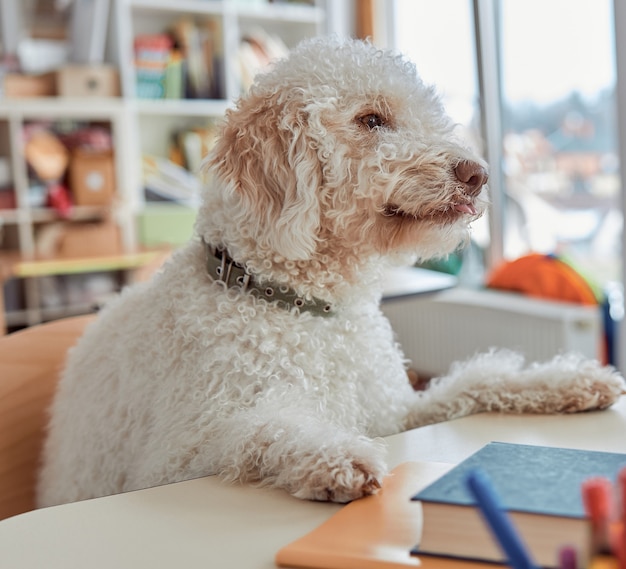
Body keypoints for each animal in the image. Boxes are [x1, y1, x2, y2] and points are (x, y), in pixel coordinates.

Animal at [39, 37, 624, 504]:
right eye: (371, 120)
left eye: (429, 115)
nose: (477, 173)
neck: (307, 307)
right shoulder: (174, 460)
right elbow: (258, 431)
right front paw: (335, 457)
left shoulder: (395, 414)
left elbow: (477, 379)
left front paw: (566, 380)